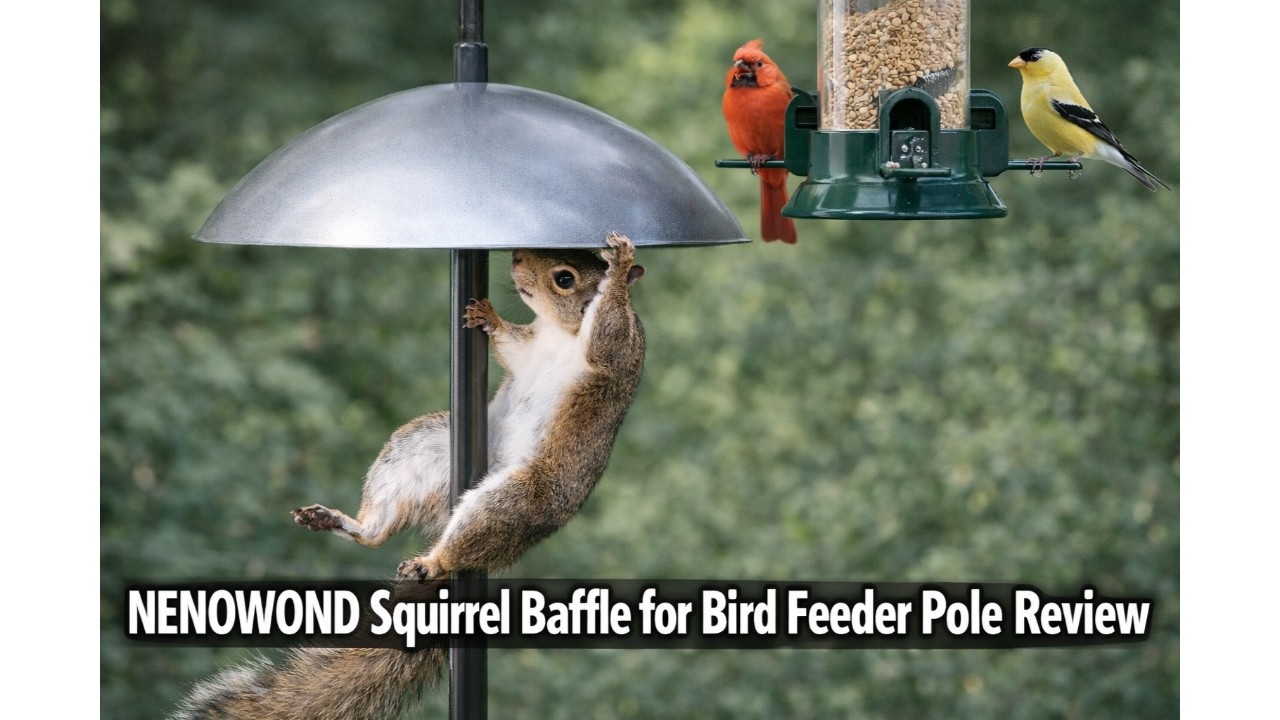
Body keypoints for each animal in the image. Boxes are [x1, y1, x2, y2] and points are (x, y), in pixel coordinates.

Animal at [175, 233, 645, 720]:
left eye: (565, 278)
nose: (516, 257)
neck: (560, 333)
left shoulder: (616, 350)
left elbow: (609, 323)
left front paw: (619, 266)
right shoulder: (529, 349)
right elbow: (512, 346)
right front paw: (487, 316)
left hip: (513, 500)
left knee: (467, 538)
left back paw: (431, 561)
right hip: (418, 451)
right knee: (378, 532)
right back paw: (343, 522)